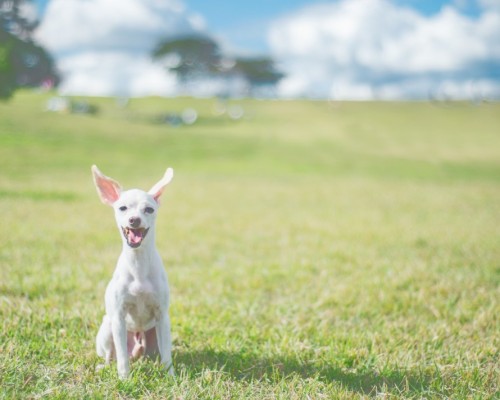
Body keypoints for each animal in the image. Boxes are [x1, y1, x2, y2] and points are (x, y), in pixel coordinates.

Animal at [92, 165, 176, 378]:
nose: (134, 219)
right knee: (111, 355)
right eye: (123, 208)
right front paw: (124, 378)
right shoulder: (118, 319)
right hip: (107, 328)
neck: (138, 265)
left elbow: (167, 356)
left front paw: (171, 377)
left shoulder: (162, 316)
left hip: (154, 337)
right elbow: (121, 357)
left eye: (149, 209)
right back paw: (105, 366)